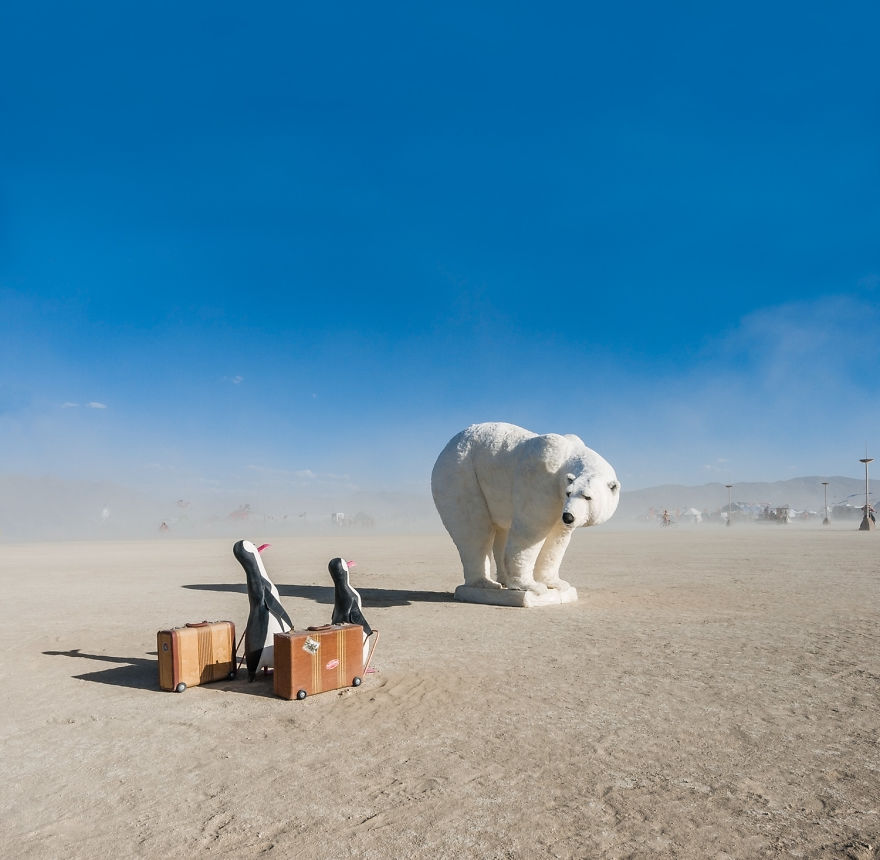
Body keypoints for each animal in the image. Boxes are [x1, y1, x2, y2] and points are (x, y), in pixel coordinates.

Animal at [432, 420, 624, 596]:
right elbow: (530, 532)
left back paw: (503, 581)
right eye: (570, 493)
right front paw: (531, 586)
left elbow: (557, 539)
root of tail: (448, 446)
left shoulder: (558, 503)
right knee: (474, 529)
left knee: (500, 530)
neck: (567, 456)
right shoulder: (540, 480)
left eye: (587, 496)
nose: (568, 516)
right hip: (460, 474)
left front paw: (556, 583)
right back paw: (484, 583)